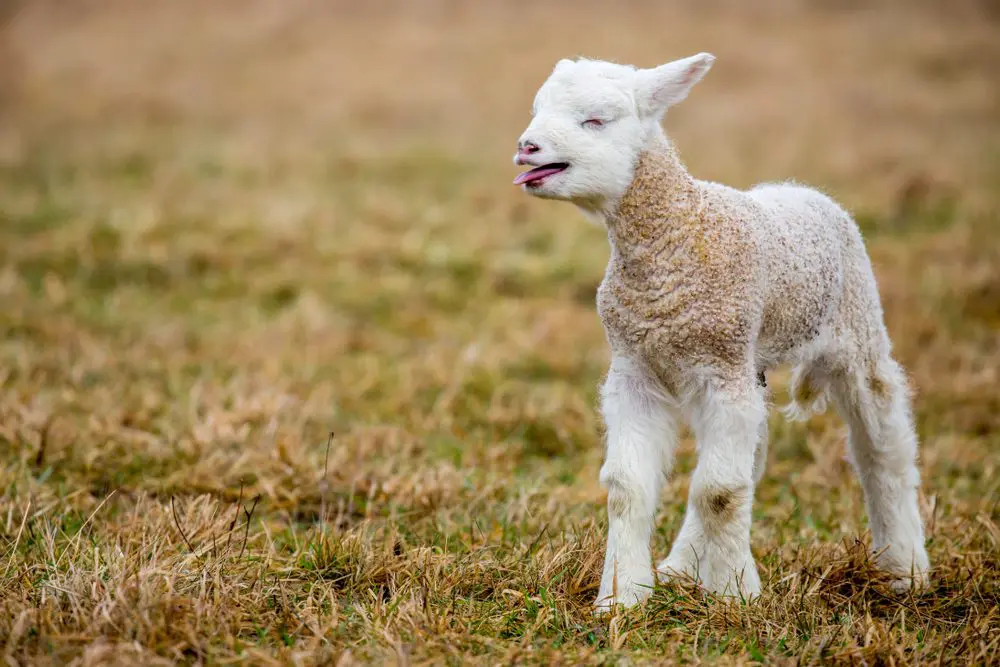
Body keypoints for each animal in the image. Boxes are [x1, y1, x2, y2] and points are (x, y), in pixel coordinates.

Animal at [511, 53, 930, 612]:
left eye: (595, 120)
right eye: (537, 110)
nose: (526, 147)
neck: (680, 232)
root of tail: (800, 188)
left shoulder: (721, 367)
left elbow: (719, 492)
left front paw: (734, 596)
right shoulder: (636, 368)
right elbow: (628, 488)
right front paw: (622, 598)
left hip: (855, 327)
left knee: (882, 446)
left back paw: (904, 569)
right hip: (748, 364)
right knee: (752, 458)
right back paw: (681, 567)